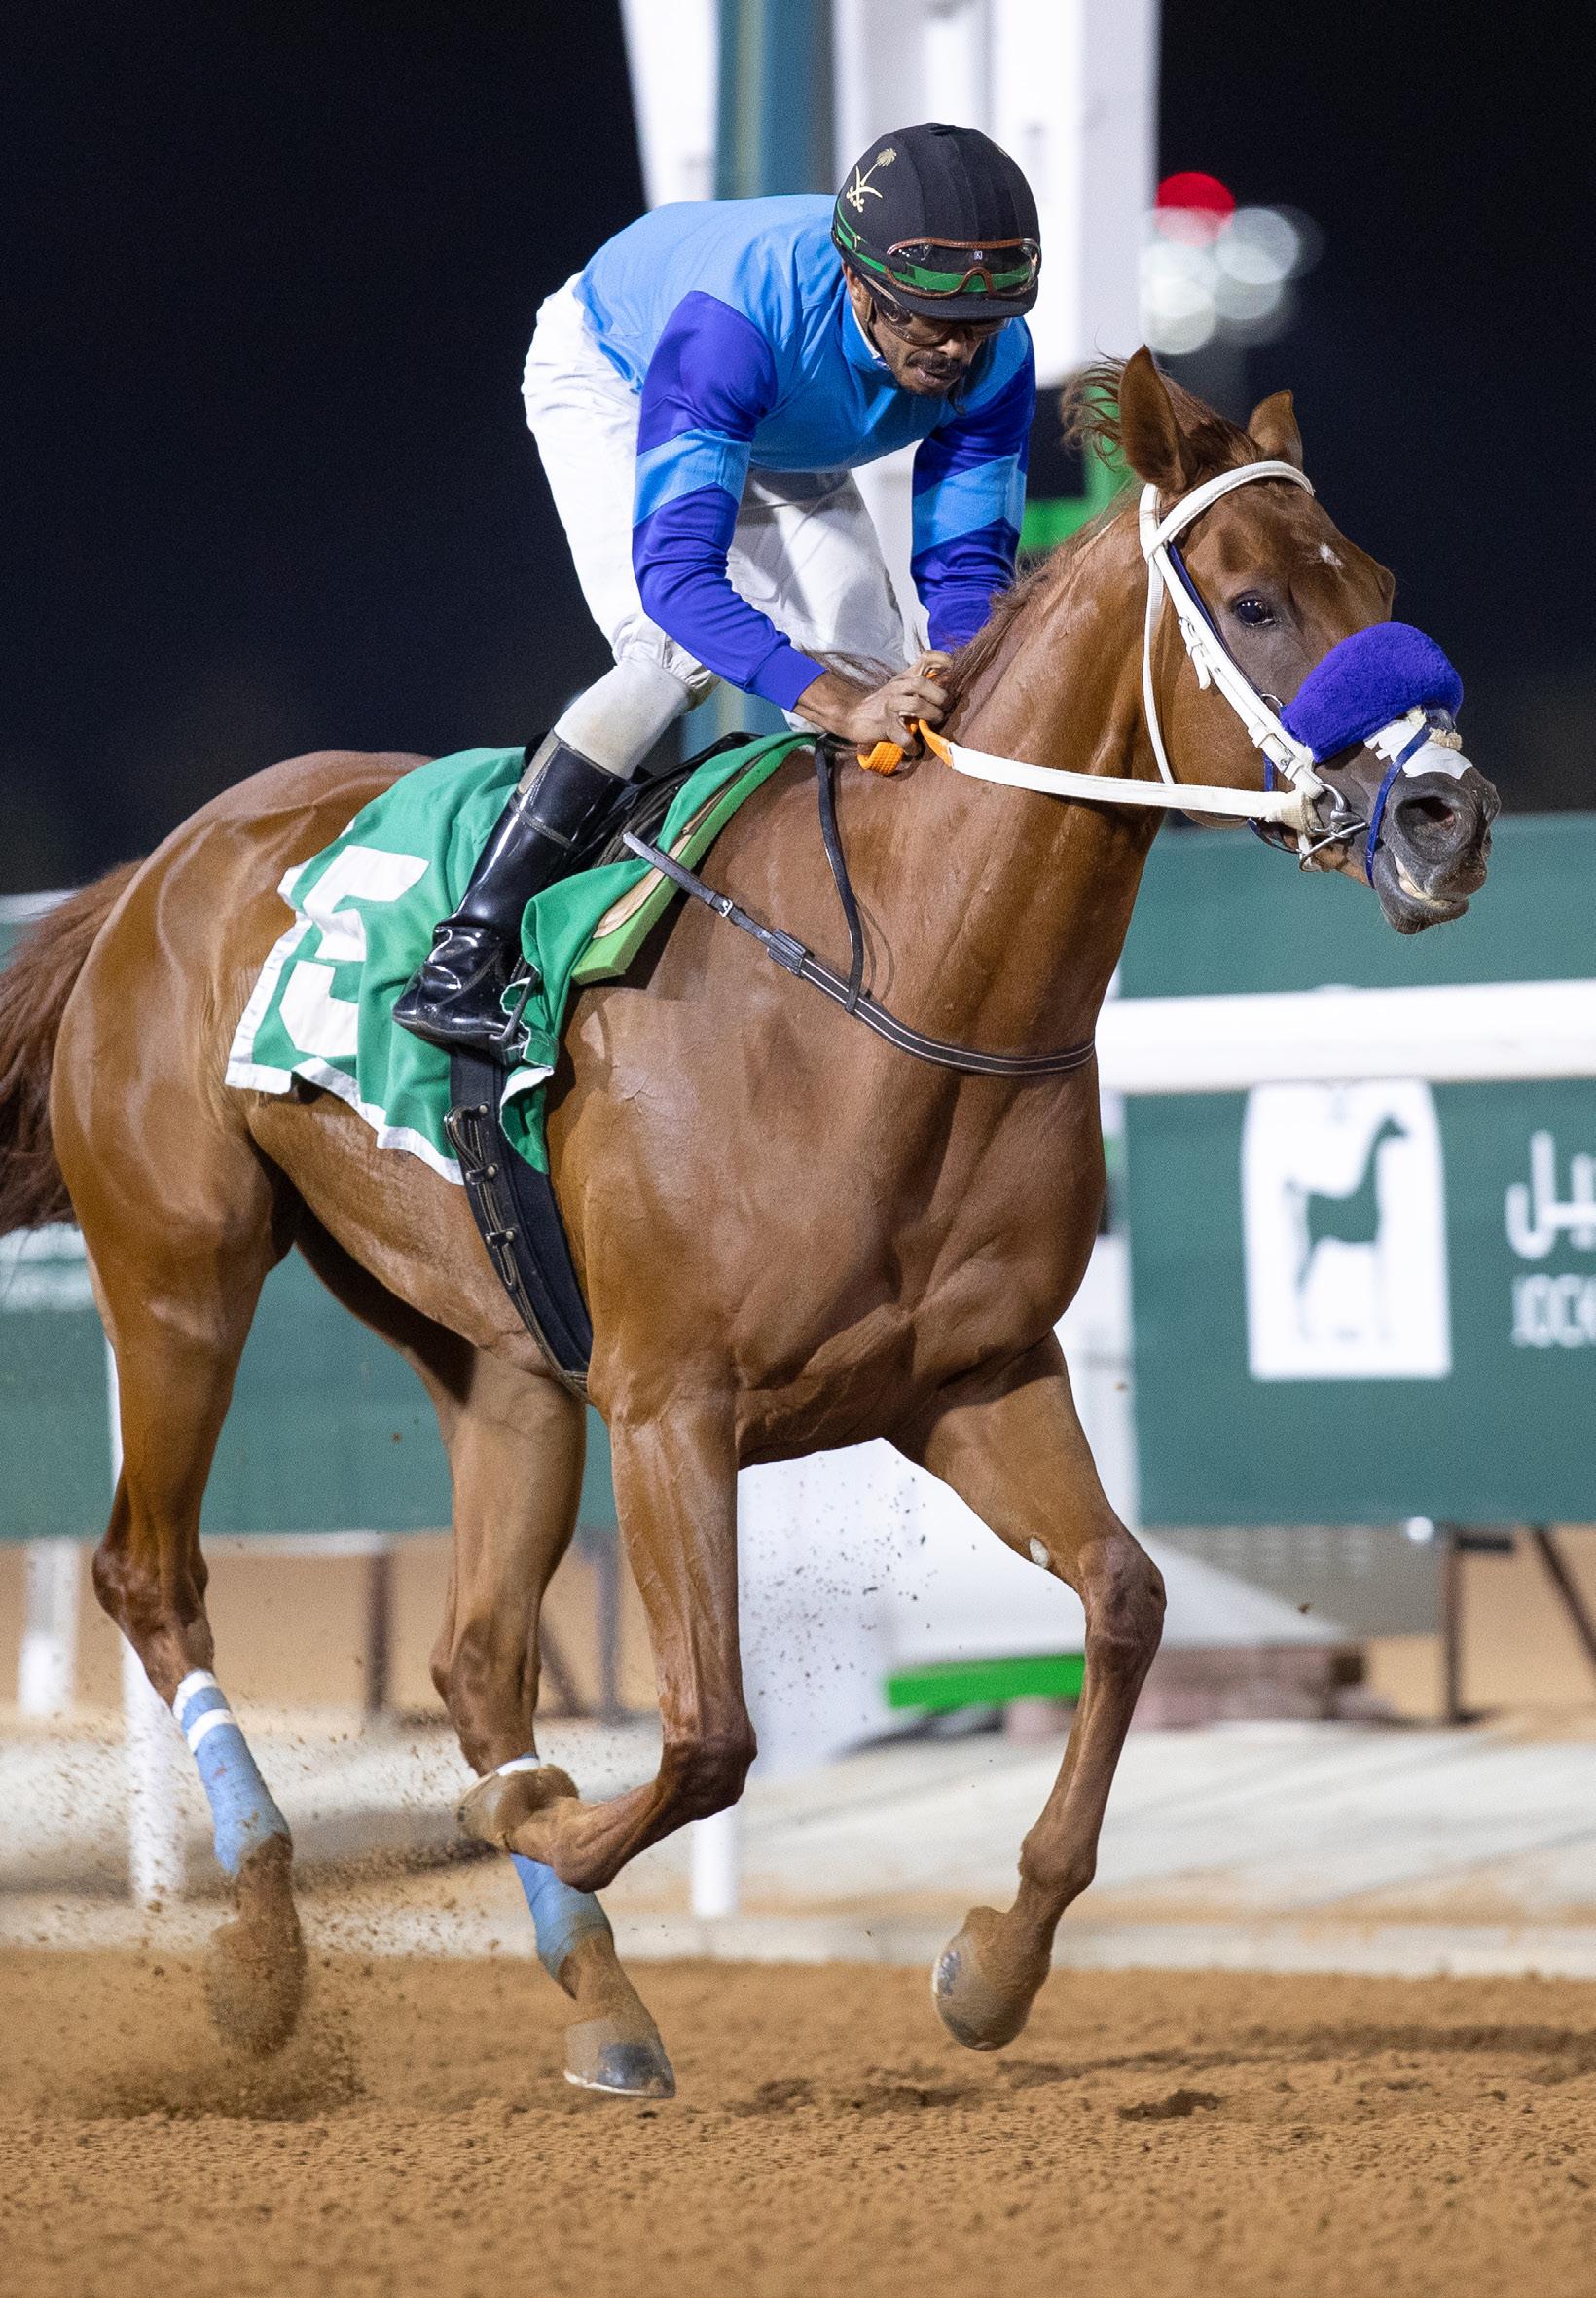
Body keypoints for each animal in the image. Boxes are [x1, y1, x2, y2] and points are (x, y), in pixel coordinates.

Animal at [0, 349, 1497, 2096]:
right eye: (1255, 602)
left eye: (1377, 585)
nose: (1450, 816)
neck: (899, 985)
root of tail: (154, 869)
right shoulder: (669, 1400)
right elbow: (711, 1734)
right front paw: (542, 1825)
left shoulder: (971, 1377)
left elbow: (1127, 1601)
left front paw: (992, 1963)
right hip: (180, 1269)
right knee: (152, 1575)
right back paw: (266, 1947)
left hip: (494, 1351)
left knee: (476, 1654)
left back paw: (599, 1996)